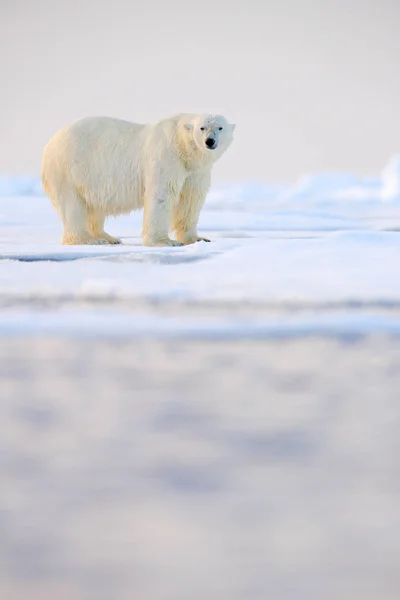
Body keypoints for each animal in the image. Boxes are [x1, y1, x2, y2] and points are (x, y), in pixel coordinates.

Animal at [40, 113, 234, 245]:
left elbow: (191, 199)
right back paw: (88, 239)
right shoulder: (165, 156)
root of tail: (50, 143)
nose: (210, 141)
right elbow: (162, 195)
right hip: (68, 170)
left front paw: (198, 239)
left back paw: (108, 237)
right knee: (72, 206)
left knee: (94, 207)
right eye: (202, 128)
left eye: (220, 127)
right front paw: (165, 241)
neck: (183, 147)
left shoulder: (195, 171)